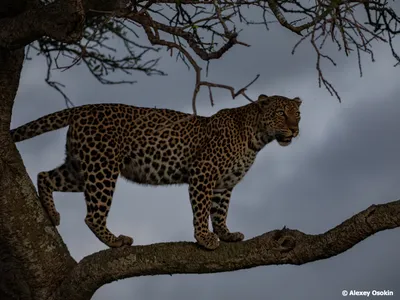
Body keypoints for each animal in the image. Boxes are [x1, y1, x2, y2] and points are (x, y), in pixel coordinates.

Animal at [10, 95, 300, 250]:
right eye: (280, 113)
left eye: (297, 114)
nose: (295, 130)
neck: (257, 137)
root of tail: (85, 108)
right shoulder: (202, 174)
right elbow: (201, 210)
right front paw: (204, 238)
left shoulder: (223, 185)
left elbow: (220, 212)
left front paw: (226, 234)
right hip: (102, 168)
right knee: (92, 215)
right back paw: (115, 241)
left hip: (80, 168)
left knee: (45, 175)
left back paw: (52, 213)